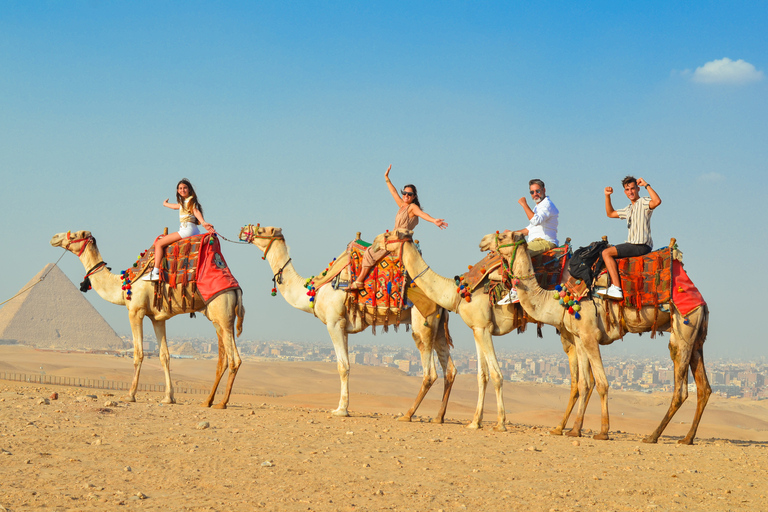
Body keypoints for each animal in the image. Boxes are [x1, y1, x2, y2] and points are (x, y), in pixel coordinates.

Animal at [51, 230, 243, 410]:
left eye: (74, 235)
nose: (54, 237)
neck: (124, 285)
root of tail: (237, 290)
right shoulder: (158, 318)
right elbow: (164, 356)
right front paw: (168, 398)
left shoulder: (135, 311)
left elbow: (138, 353)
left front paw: (130, 395)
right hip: (219, 319)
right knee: (224, 360)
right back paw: (207, 401)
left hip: (222, 312)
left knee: (234, 359)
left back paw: (222, 403)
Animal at [238, 223, 456, 420]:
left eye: (262, 229)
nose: (244, 229)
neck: (315, 289)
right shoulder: (344, 325)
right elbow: (347, 364)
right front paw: (343, 407)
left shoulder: (334, 322)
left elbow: (342, 366)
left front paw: (341, 410)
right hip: (438, 326)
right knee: (450, 370)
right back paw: (439, 417)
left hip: (422, 322)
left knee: (430, 373)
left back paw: (408, 414)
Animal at [378, 228, 588, 432]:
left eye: (389, 234)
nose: (376, 242)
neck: (456, 292)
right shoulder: (477, 329)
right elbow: (482, 375)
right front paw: (475, 422)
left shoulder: (484, 327)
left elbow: (496, 375)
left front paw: (501, 423)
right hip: (569, 331)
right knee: (579, 379)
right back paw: (564, 427)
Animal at [488, 232, 712, 444]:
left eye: (503, 236)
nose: (485, 244)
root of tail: (701, 299)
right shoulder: (579, 338)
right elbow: (585, 384)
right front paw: (574, 430)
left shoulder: (589, 335)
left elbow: (602, 383)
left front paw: (603, 432)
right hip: (696, 336)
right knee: (704, 387)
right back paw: (687, 438)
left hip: (684, 326)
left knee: (680, 386)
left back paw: (653, 436)